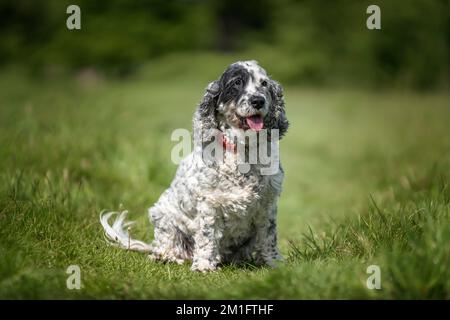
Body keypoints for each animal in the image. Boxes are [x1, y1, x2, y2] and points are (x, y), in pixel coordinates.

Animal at [100, 59, 290, 270]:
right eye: (237, 83)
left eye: (264, 83)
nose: (258, 101)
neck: (243, 151)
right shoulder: (209, 204)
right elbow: (207, 236)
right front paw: (204, 266)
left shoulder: (268, 205)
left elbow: (269, 237)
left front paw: (274, 263)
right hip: (163, 218)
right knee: (163, 249)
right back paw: (168, 257)